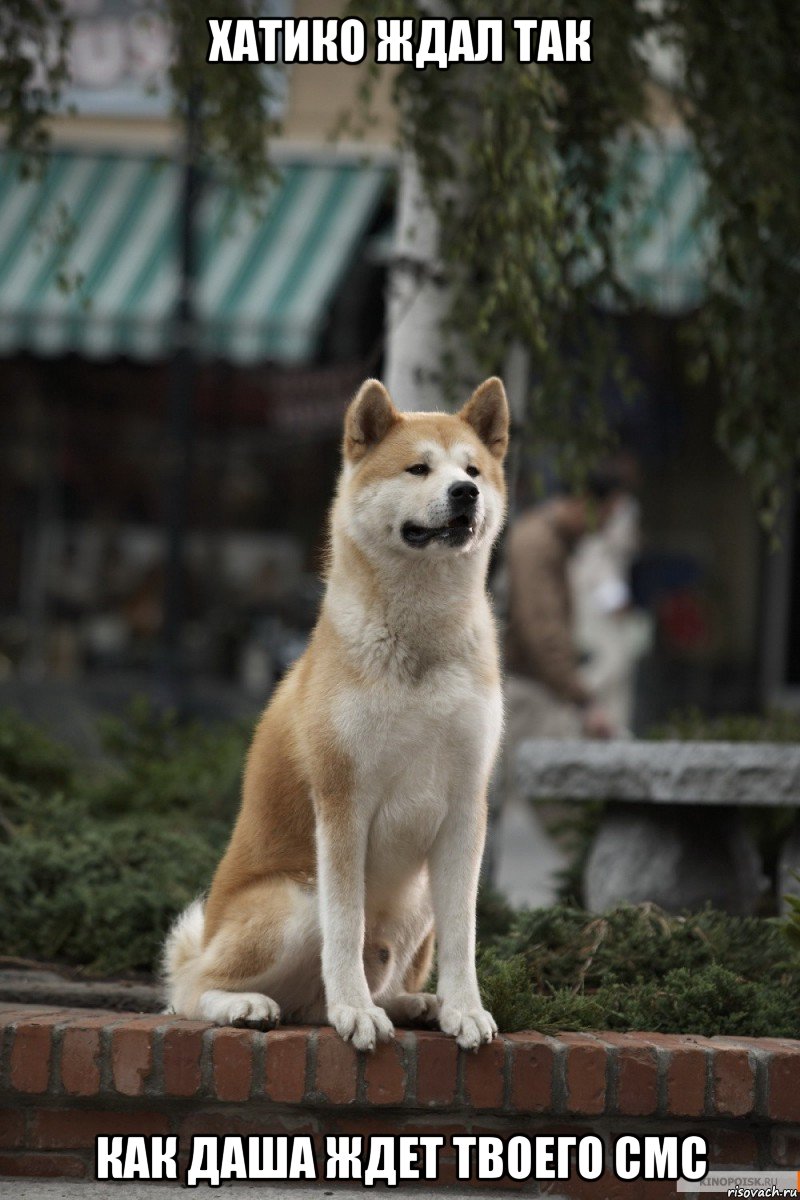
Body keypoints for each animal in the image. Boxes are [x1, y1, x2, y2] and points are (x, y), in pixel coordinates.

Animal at [164, 374, 506, 1051]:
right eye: (419, 468)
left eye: (473, 469)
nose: (466, 493)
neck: (420, 644)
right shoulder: (344, 801)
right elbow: (345, 928)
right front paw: (355, 1011)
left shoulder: (465, 806)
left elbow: (465, 934)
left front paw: (464, 1009)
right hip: (296, 901)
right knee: (189, 990)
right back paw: (251, 1004)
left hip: (416, 900)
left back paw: (413, 1003)